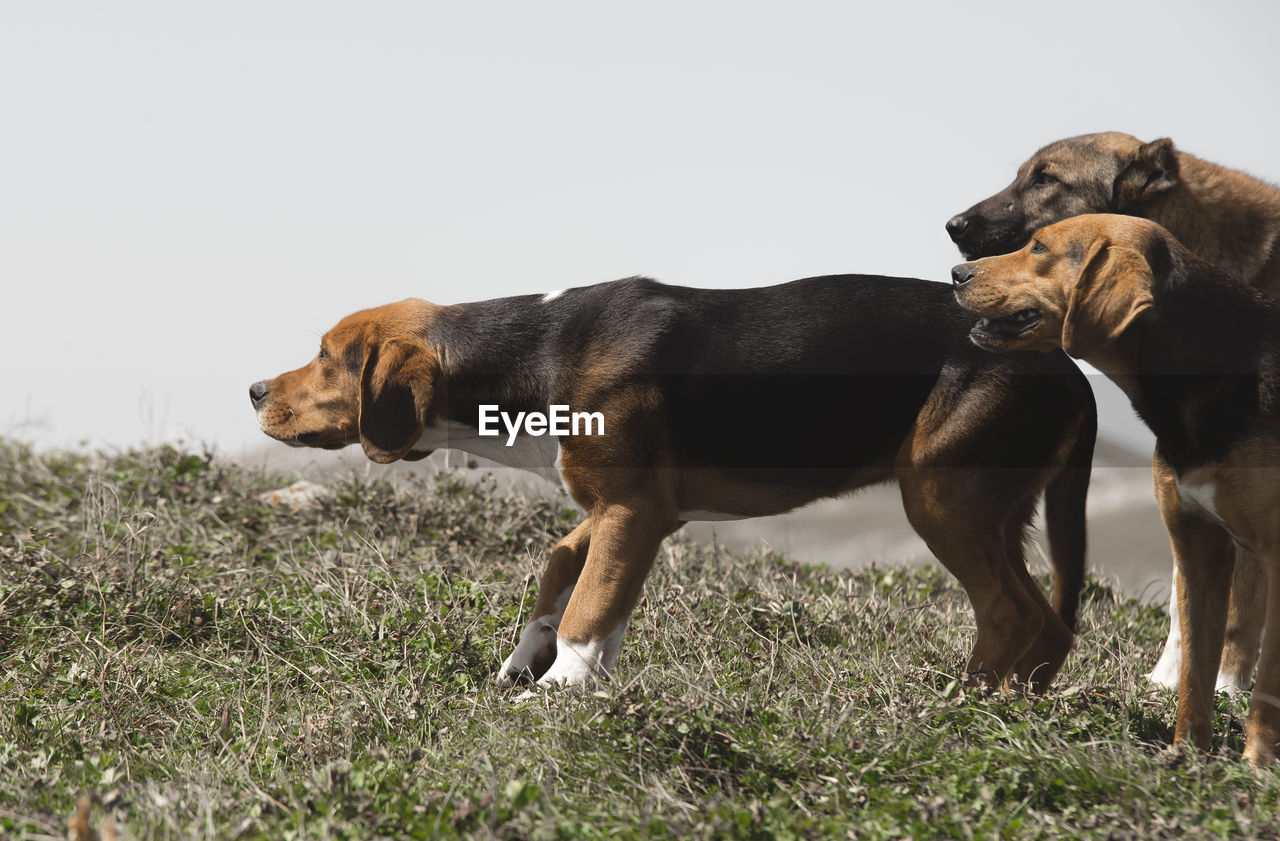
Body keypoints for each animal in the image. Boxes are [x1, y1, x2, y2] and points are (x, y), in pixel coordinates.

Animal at [947, 131, 1280, 691]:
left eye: (1046, 179)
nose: (953, 230)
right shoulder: (1186, 495)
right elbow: (1183, 605)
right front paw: (1166, 681)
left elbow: (1238, 611)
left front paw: (1225, 686)